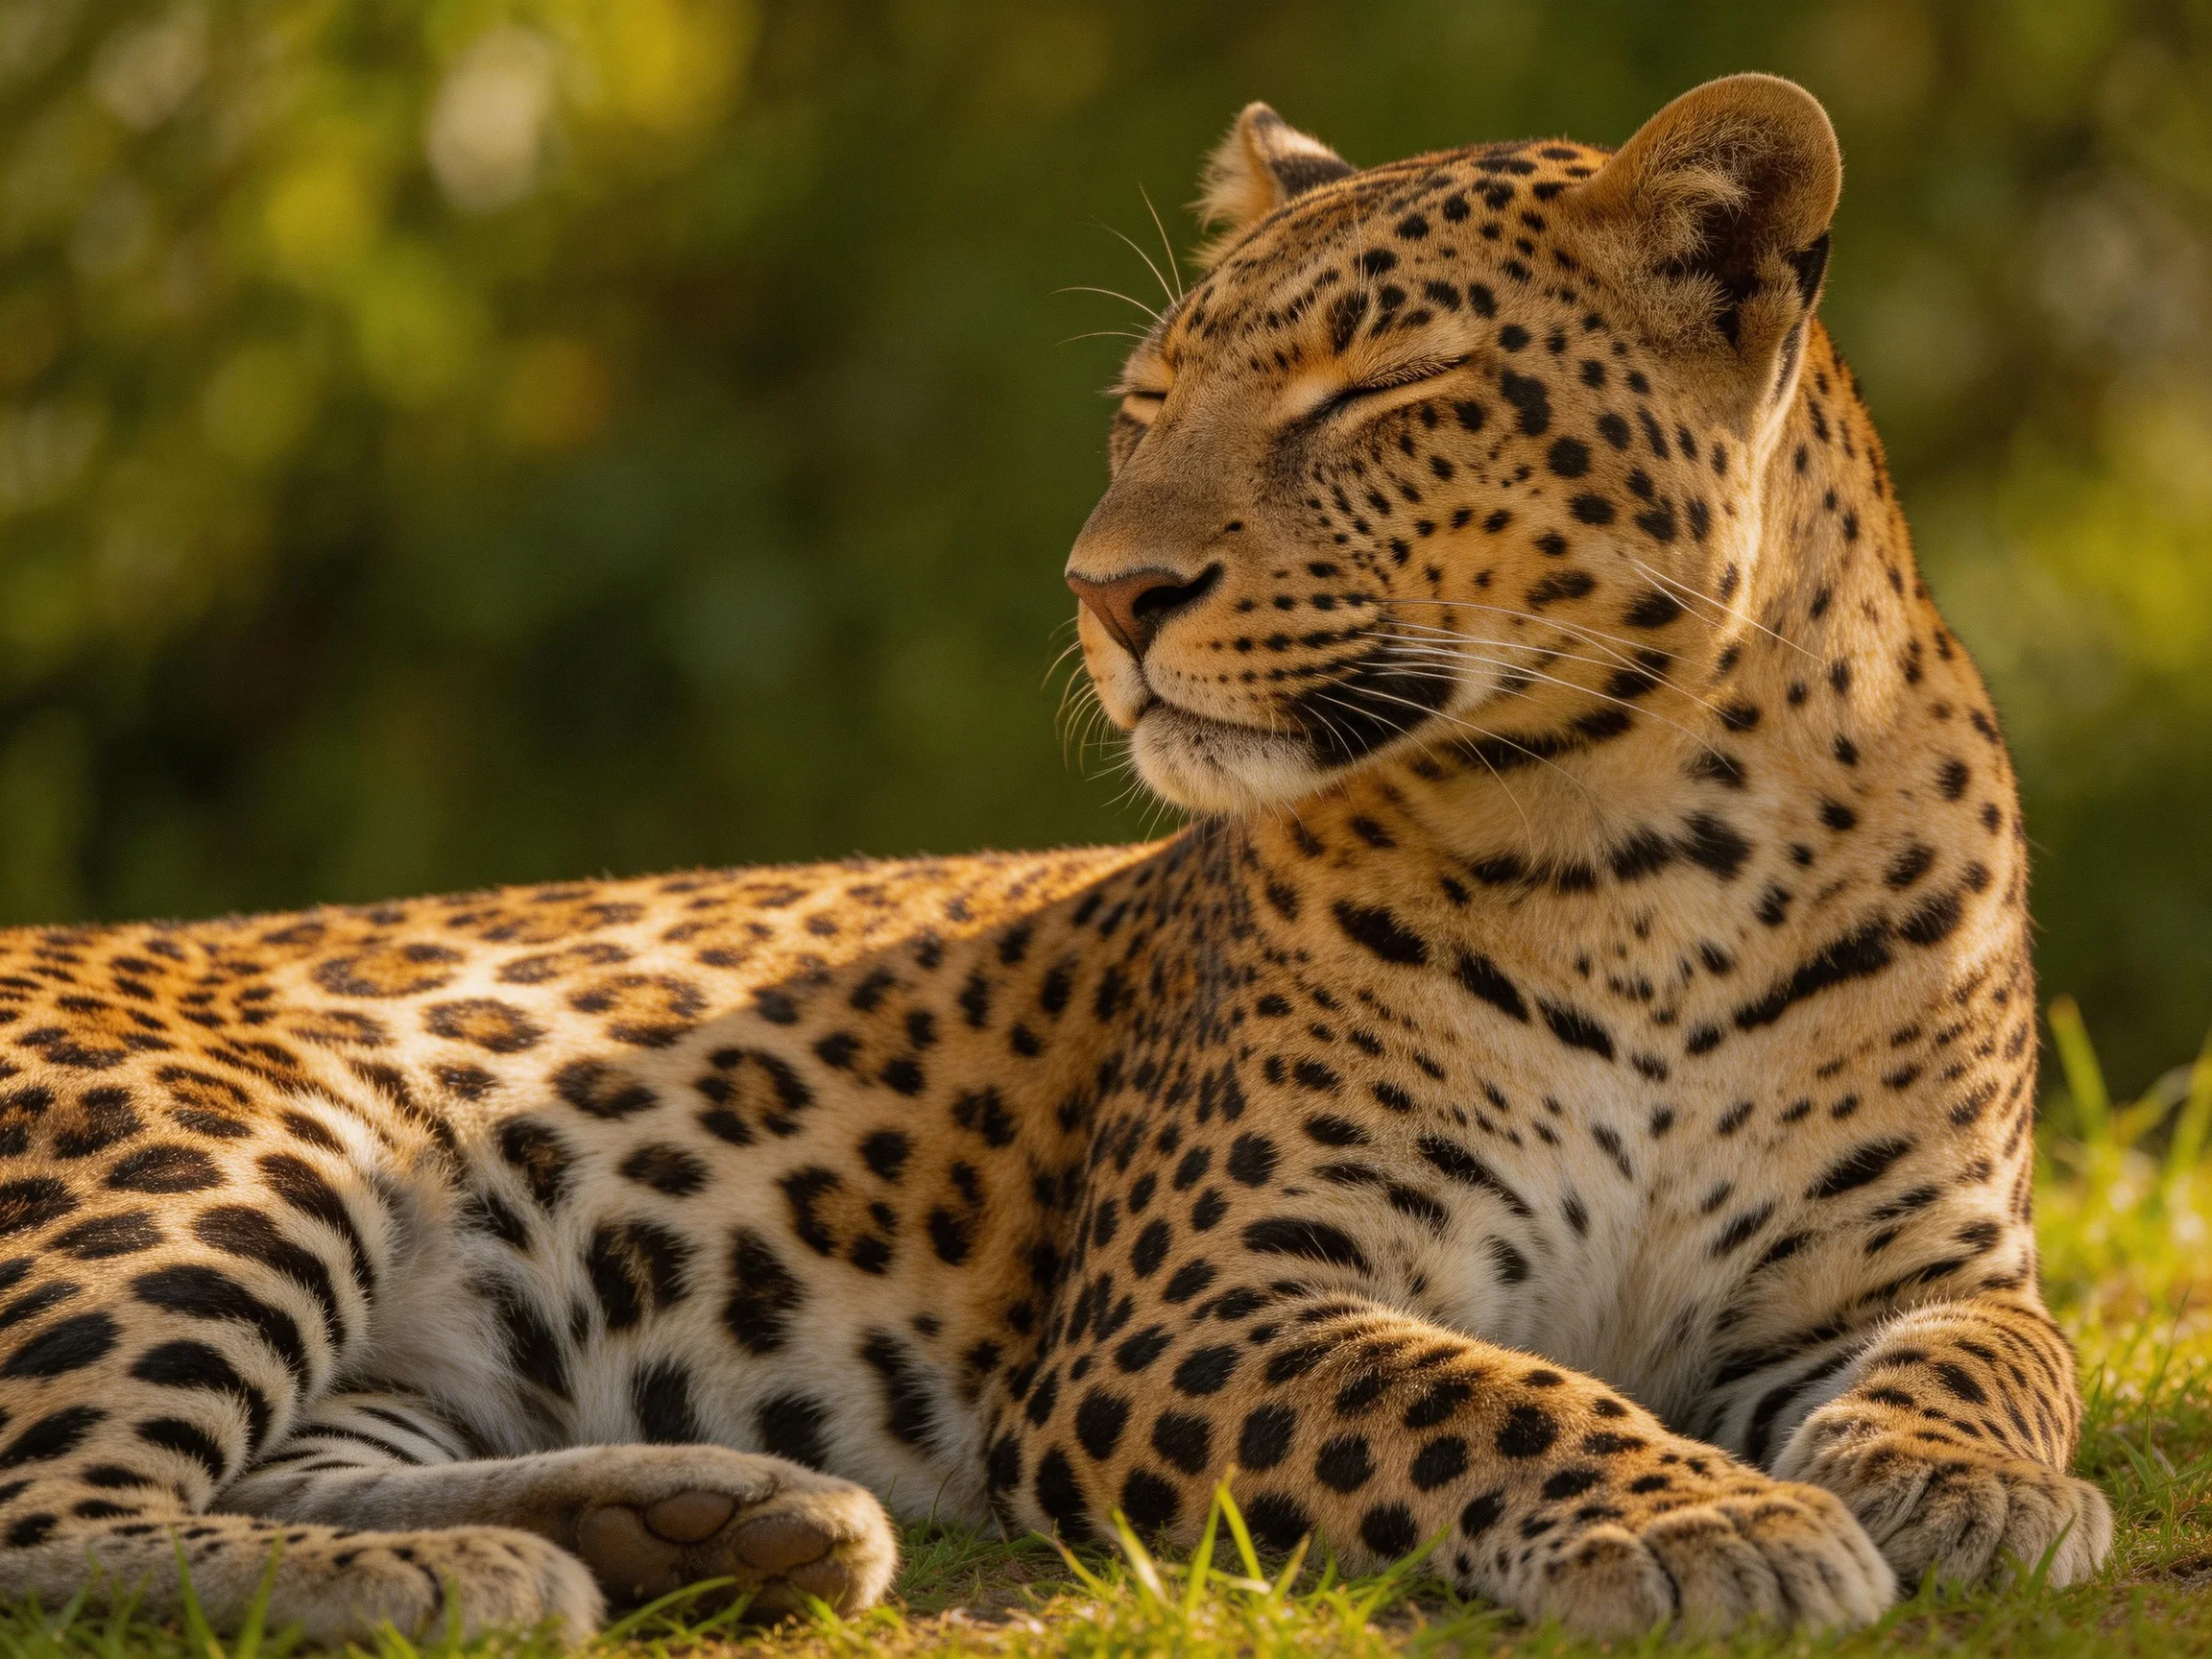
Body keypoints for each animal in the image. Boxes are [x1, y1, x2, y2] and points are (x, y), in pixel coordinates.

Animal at [0, 74, 2111, 1644]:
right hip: (243, 1140)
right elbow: (1479, 1389)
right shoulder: (1191, 1307)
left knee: (275, 1462)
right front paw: (1700, 1522)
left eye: (1376, 393)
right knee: (55, 1520)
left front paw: (1963, 1489)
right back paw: (466, 1568)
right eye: (1143, 409)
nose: (1111, 591)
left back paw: (706, 1523)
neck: (1651, 839)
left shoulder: (1913, 1264)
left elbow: (2005, 1357)